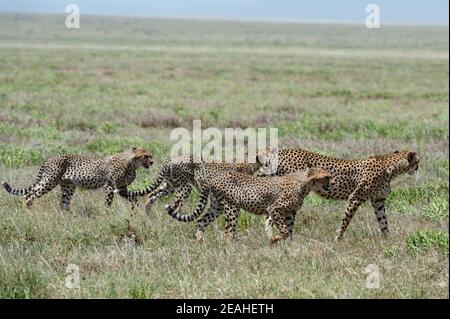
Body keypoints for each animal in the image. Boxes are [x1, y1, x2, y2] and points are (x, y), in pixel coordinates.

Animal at [1, 148, 154, 212]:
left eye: (151, 155)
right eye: (145, 156)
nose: (152, 162)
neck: (132, 163)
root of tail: (50, 157)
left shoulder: (121, 188)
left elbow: (134, 198)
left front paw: (135, 210)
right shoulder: (110, 187)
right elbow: (108, 203)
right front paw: (107, 213)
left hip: (68, 186)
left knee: (64, 203)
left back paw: (67, 217)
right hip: (49, 181)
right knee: (29, 194)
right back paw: (28, 212)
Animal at [165, 165, 330, 245]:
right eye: (327, 177)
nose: (331, 183)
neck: (306, 183)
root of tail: (214, 177)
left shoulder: (287, 213)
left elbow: (285, 230)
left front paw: (282, 244)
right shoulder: (275, 209)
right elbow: (284, 231)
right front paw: (275, 240)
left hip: (216, 207)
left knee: (201, 221)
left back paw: (201, 242)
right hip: (232, 207)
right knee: (229, 232)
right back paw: (236, 247)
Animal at [258, 149, 420, 241]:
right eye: (417, 161)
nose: (418, 168)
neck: (390, 168)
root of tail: (279, 152)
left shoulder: (378, 200)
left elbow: (383, 221)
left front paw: (388, 240)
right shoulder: (355, 197)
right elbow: (345, 221)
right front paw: (337, 239)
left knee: (271, 218)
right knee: (274, 218)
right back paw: (283, 241)